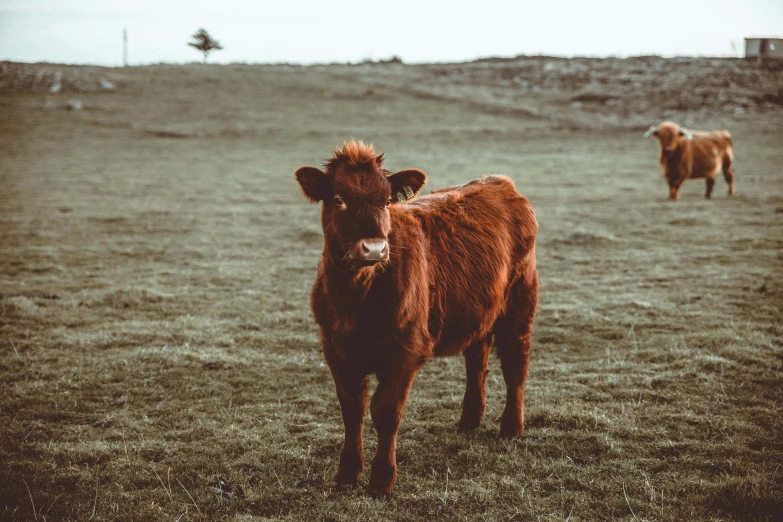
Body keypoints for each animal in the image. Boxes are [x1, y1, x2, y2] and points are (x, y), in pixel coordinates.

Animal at [294, 140, 540, 494]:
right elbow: (352, 409)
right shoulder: (336, 348)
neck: (355, 300)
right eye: (338, 199)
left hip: (520, 300)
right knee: (477, 358)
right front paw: (347, 474)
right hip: (478, 309)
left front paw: (382, 480)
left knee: (515, 362)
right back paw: (469, 420)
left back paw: (511, 427)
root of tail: (499, 182)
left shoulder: (406, 349)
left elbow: (385, 410)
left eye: (386, 201)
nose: (373, 248)